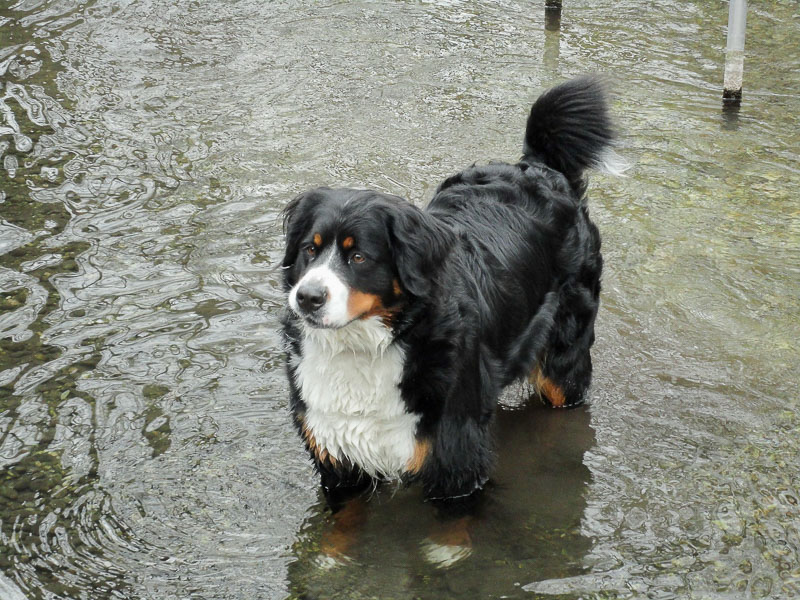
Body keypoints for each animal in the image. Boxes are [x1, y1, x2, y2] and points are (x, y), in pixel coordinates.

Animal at [282, 76, 624, 506]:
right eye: (309, 249)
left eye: (358, 256)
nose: (307, 298)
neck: (362, 349)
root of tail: (539, 167)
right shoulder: (337, 460)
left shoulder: (456, 462)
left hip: (564, 364)